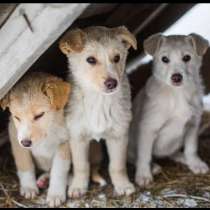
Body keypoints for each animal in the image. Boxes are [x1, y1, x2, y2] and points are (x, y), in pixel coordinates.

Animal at [0, 72, 71, 207]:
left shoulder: (65, 144)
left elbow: (58, 171)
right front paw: (29, 187)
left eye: (39, 115)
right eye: (17, 117)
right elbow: (25, 165)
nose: (26, 143)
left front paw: (55, 194)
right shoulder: (16, 139)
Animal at [59, 25, 138, 197]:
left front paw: (122, 185)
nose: (112, 83)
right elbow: (81, 166)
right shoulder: (77, 136)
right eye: (91, 60)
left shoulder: (119, 135)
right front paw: (78, 186)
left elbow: (117, 165)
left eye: (117, 58)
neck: (99, 100)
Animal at [128, 32, 210, 187]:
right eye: (164, 59)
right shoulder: (147, 129)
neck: (177, 94)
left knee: (172, 153)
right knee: (133, 157)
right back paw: (153, 167)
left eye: (187, 58)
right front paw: (143, 175)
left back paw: (181, 157)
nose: (176, 77)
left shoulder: (193, 125)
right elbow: (144, 155)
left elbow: (191, 149)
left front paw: (195, 164)